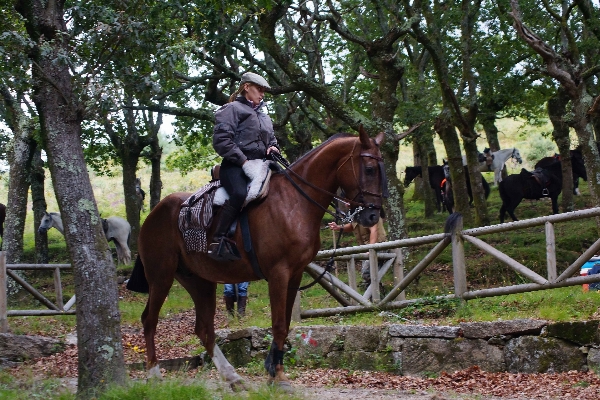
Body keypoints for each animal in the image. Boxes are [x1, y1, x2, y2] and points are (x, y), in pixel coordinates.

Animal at [128, 127, 386, 388]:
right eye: (369, 169)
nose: (373, 216)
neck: (294, 202)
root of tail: (154, 213)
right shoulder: (279, 274)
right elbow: (279, 325)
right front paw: (278, 376)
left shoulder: (294, 275)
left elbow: (285, 324)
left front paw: (273, 369)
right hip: (161, 276)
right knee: (149, 320)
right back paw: (154, 373)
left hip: (200, 281)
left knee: (204, 329)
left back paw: (232, 377)